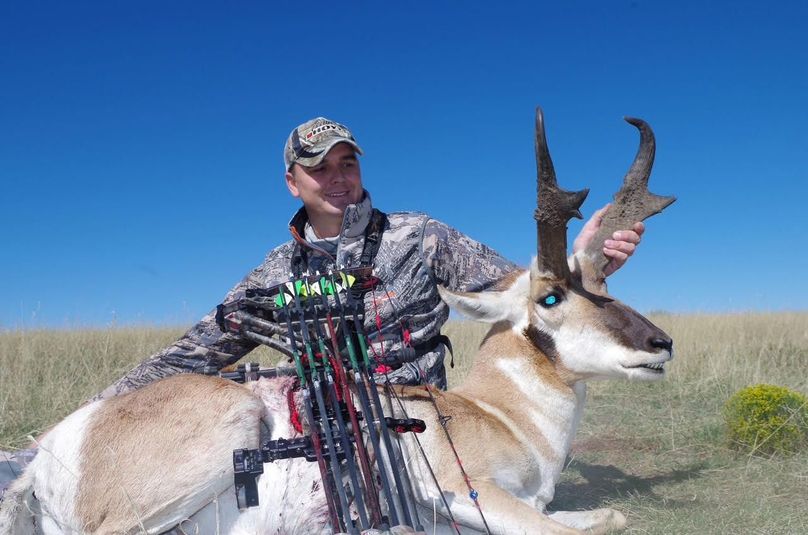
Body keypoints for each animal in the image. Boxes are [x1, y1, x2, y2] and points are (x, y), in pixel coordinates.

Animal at [0, 108, 675, 535]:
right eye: (551, 298)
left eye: (605, 283)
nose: (661, 343)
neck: (498, 413)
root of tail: (45, 456)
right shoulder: (466, 494)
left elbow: (607, 518)